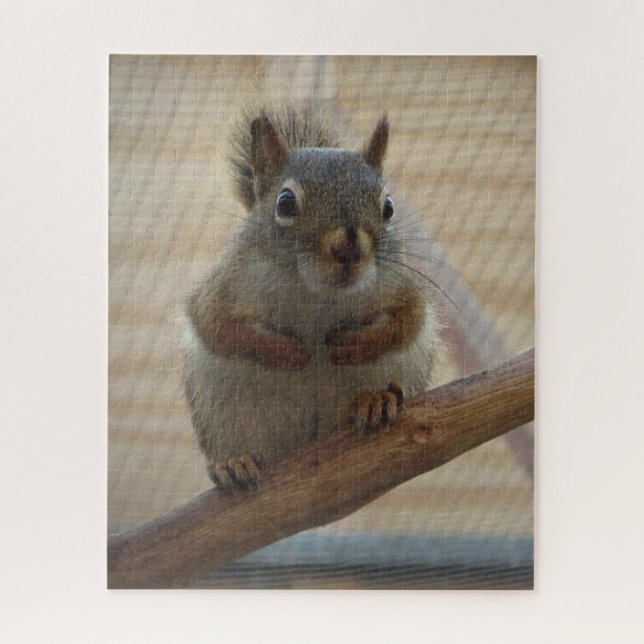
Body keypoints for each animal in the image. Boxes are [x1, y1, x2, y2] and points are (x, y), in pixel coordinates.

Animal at [182, 108, 438, 492]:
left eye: (389, 207)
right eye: (285, 203)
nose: (348, 248)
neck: (317, 295)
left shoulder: (402, 286)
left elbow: (409, 320)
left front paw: (357, 345)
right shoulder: (225, 287)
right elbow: (217, 326)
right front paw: (284, 351)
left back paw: (375, 399)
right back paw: (234, 463)